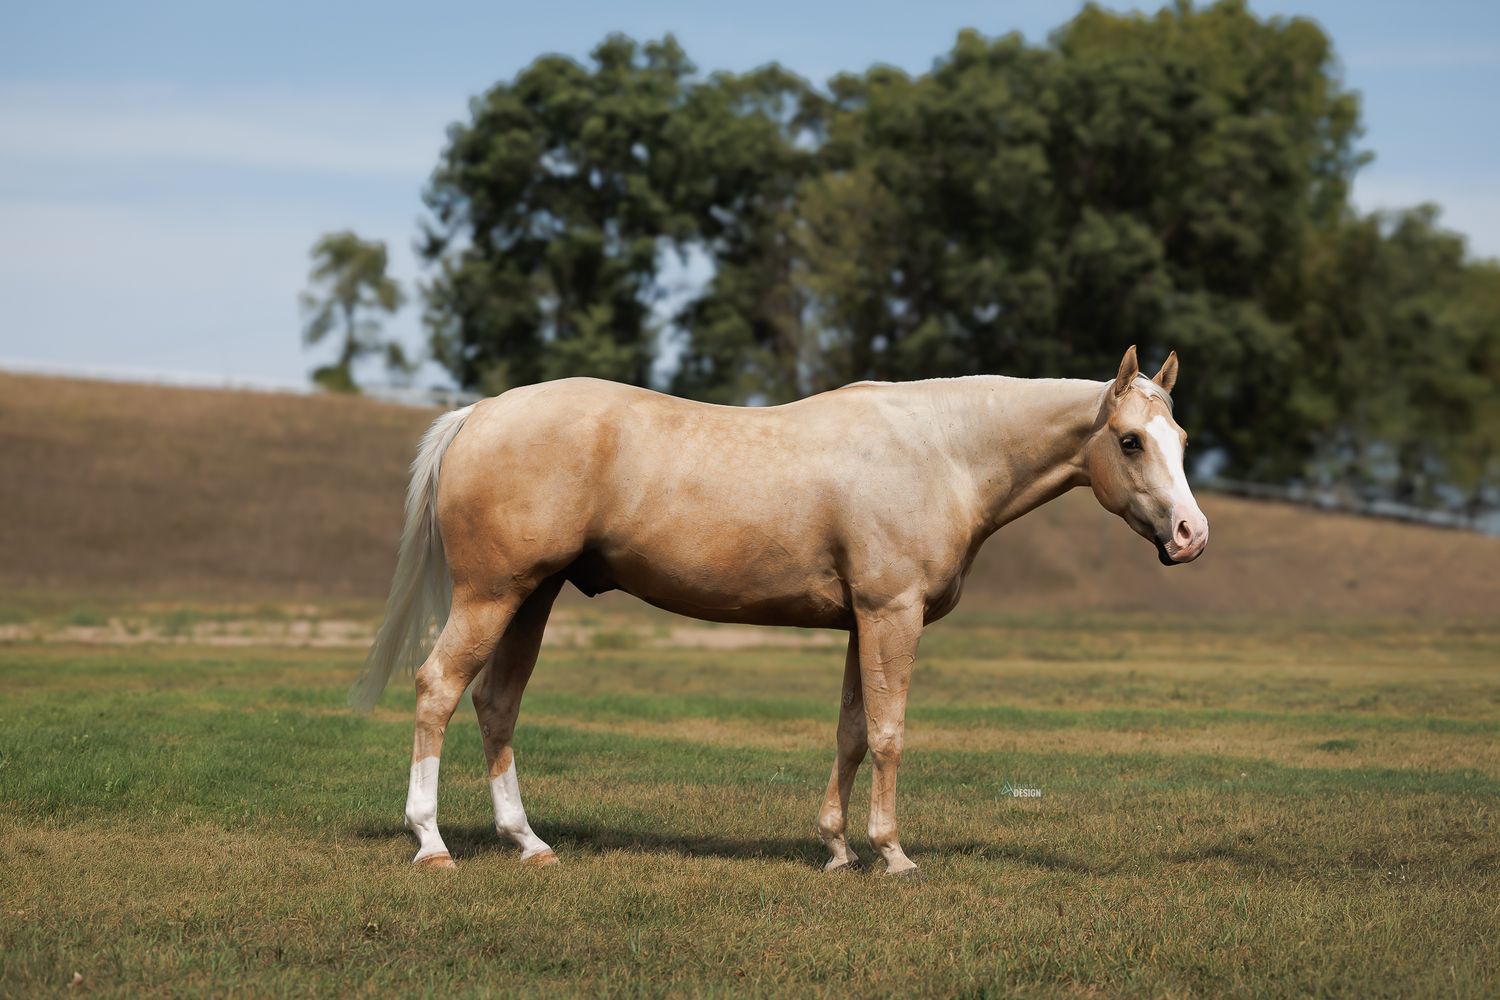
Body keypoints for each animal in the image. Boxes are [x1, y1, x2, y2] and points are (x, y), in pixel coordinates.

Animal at [352, 345, 1208, 878]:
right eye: (1130, 441)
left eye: (1181, 434)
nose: (1191, 535)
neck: (940, 451)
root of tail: (480, 411)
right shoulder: (891, 615)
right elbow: (890, 735)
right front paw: (892, 854)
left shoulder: (863, 623)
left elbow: (852, 732)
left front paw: (836, 849)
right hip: (491, 595)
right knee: (437, 688)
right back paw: (431, 843)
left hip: (532, 597)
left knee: (497, 703)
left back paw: (528, 842)